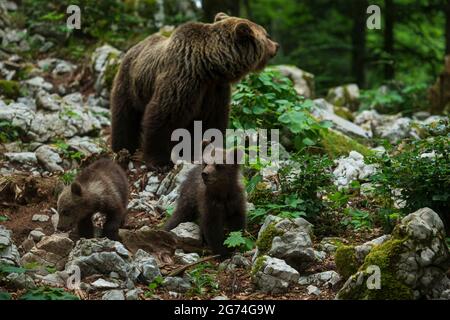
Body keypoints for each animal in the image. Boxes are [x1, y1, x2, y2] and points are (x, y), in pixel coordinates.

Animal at [110, 12, 278, 170]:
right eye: (267, 35)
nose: (276, 45)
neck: (209, 67)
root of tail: (134, 47)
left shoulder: (215, 90)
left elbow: (212, 121)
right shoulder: (182, 79)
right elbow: (163, 116)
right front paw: (160, 162)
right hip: (129, 83)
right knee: (124, 116)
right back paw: (122, 148)